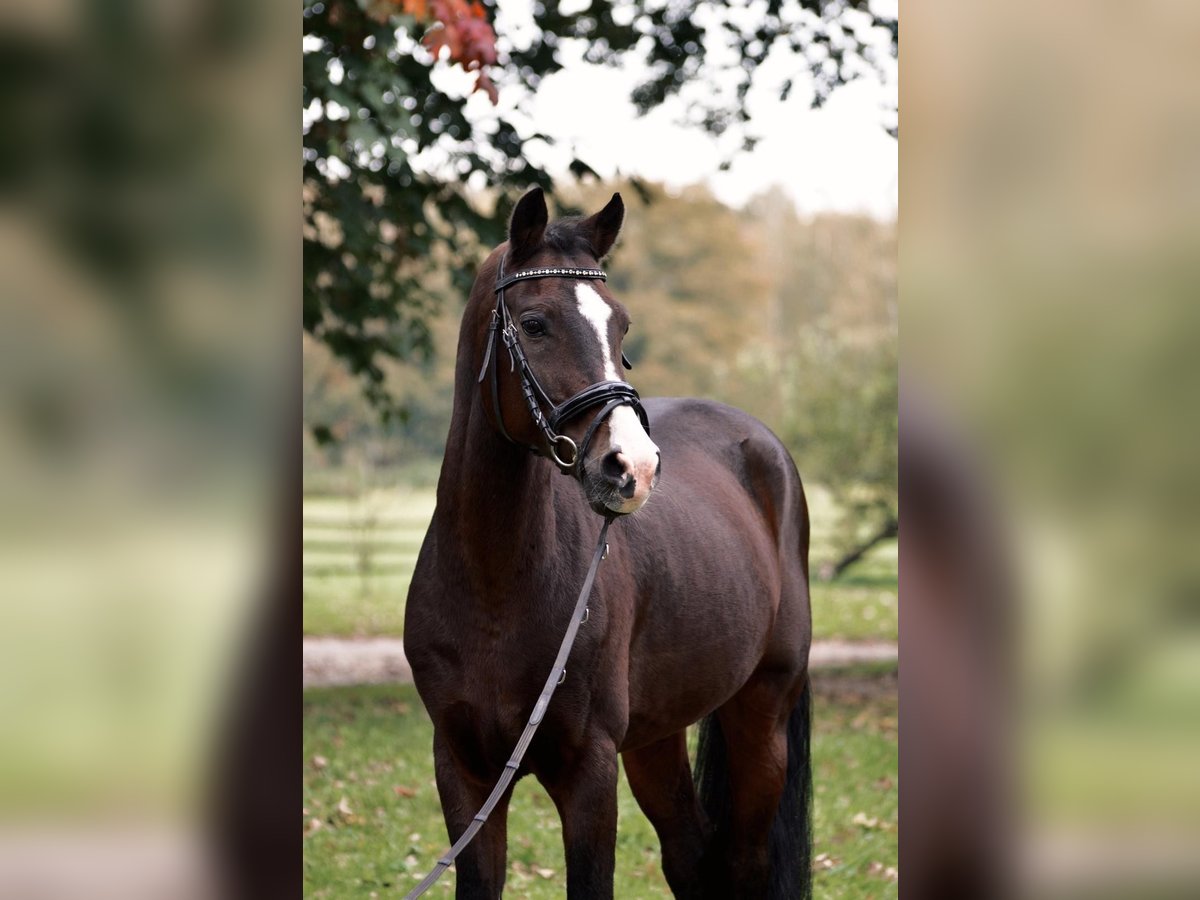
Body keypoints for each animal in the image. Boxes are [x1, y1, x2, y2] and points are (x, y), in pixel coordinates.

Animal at [405, 187, 816, 897]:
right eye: (534, 323)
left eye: (621, 327)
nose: (634, 466)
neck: (492, 584)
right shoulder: (464, 771)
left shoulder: (590, 774)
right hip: (656, 736)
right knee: (690, 856)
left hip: (762, 713)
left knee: (744, 862)